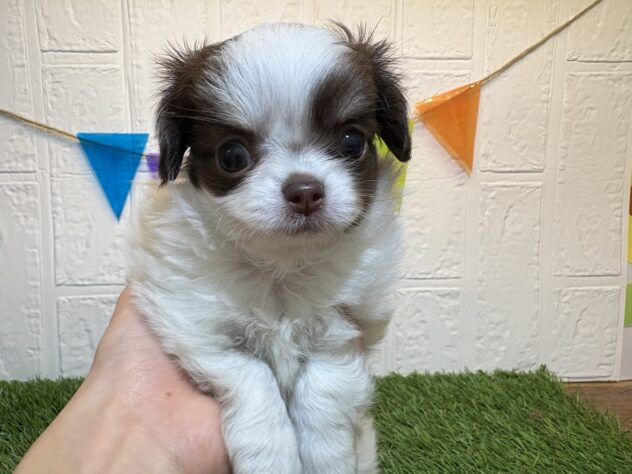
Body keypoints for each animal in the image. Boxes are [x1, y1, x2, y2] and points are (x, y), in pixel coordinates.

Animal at [129, 22, 411, 474]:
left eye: (352, 142)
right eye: (232, 155)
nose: (305, 191)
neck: (282, 264)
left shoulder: (345, 330)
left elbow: (324, 390)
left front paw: (326, 458)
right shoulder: (198, 327)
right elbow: (252, 377)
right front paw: (272, 457)